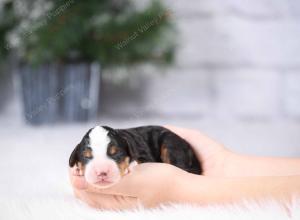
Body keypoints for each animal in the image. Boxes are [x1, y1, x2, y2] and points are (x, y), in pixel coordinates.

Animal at [69, 124, 202, 188]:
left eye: (116, 153)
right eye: (86, 156)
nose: (102, 172)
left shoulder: (144, 154)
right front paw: (77, 170)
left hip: (171, 144)